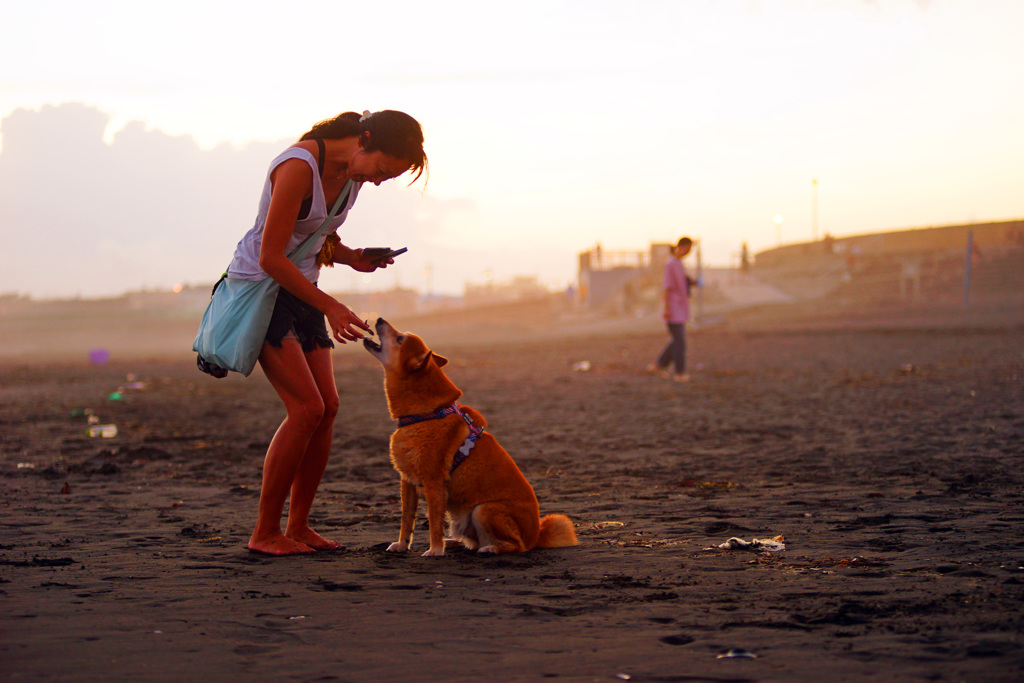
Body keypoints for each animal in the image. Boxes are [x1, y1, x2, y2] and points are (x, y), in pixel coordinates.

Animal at [366, 319, 577, 557]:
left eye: (400, 338)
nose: (380, 319)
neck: (425, 414)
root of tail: (536, 536)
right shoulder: (407, 482)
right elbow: (406, 519)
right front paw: (402, 545)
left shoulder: (433, 483)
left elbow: (434, 522)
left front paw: (435, 550)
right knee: (472, 540)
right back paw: (454, 542)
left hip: (484, 510)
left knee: (515, 546)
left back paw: (491, 548)